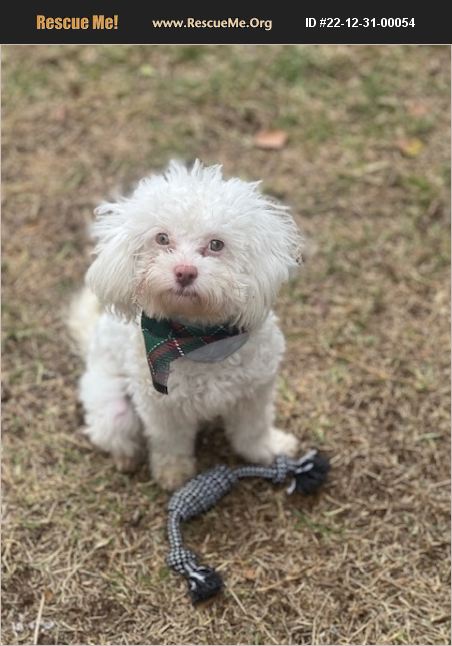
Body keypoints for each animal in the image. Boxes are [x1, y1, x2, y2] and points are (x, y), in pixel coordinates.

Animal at [70, 161, 304, 492]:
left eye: (216, 244)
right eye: (162, 238)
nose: (184, 272)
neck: (198, 336)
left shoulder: (254, 393)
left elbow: (253, 429)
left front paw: (268, 450)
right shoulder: (161, 407)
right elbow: (170, 443)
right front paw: (173, 475)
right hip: (114, 409)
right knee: (114, 435)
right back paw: (126, 458)